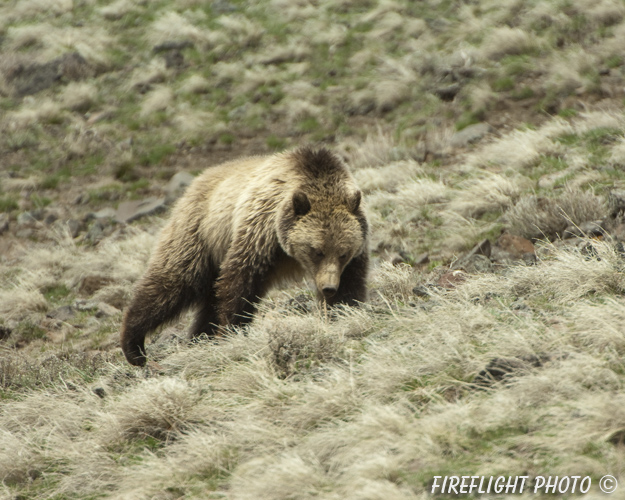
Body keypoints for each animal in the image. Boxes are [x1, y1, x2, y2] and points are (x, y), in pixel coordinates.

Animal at [119, 146, 368, 366]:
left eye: (343, 253)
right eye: (316, 250)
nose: (328, 287)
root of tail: (198, 179)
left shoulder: (356, 248)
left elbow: (351, 285)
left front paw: (342, 312)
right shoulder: (259, 233)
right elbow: (239, 282)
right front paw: (232, 330)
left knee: (207, 299)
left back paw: (200, 338)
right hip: (199, 235)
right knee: (173, 281)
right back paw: (134, 346)